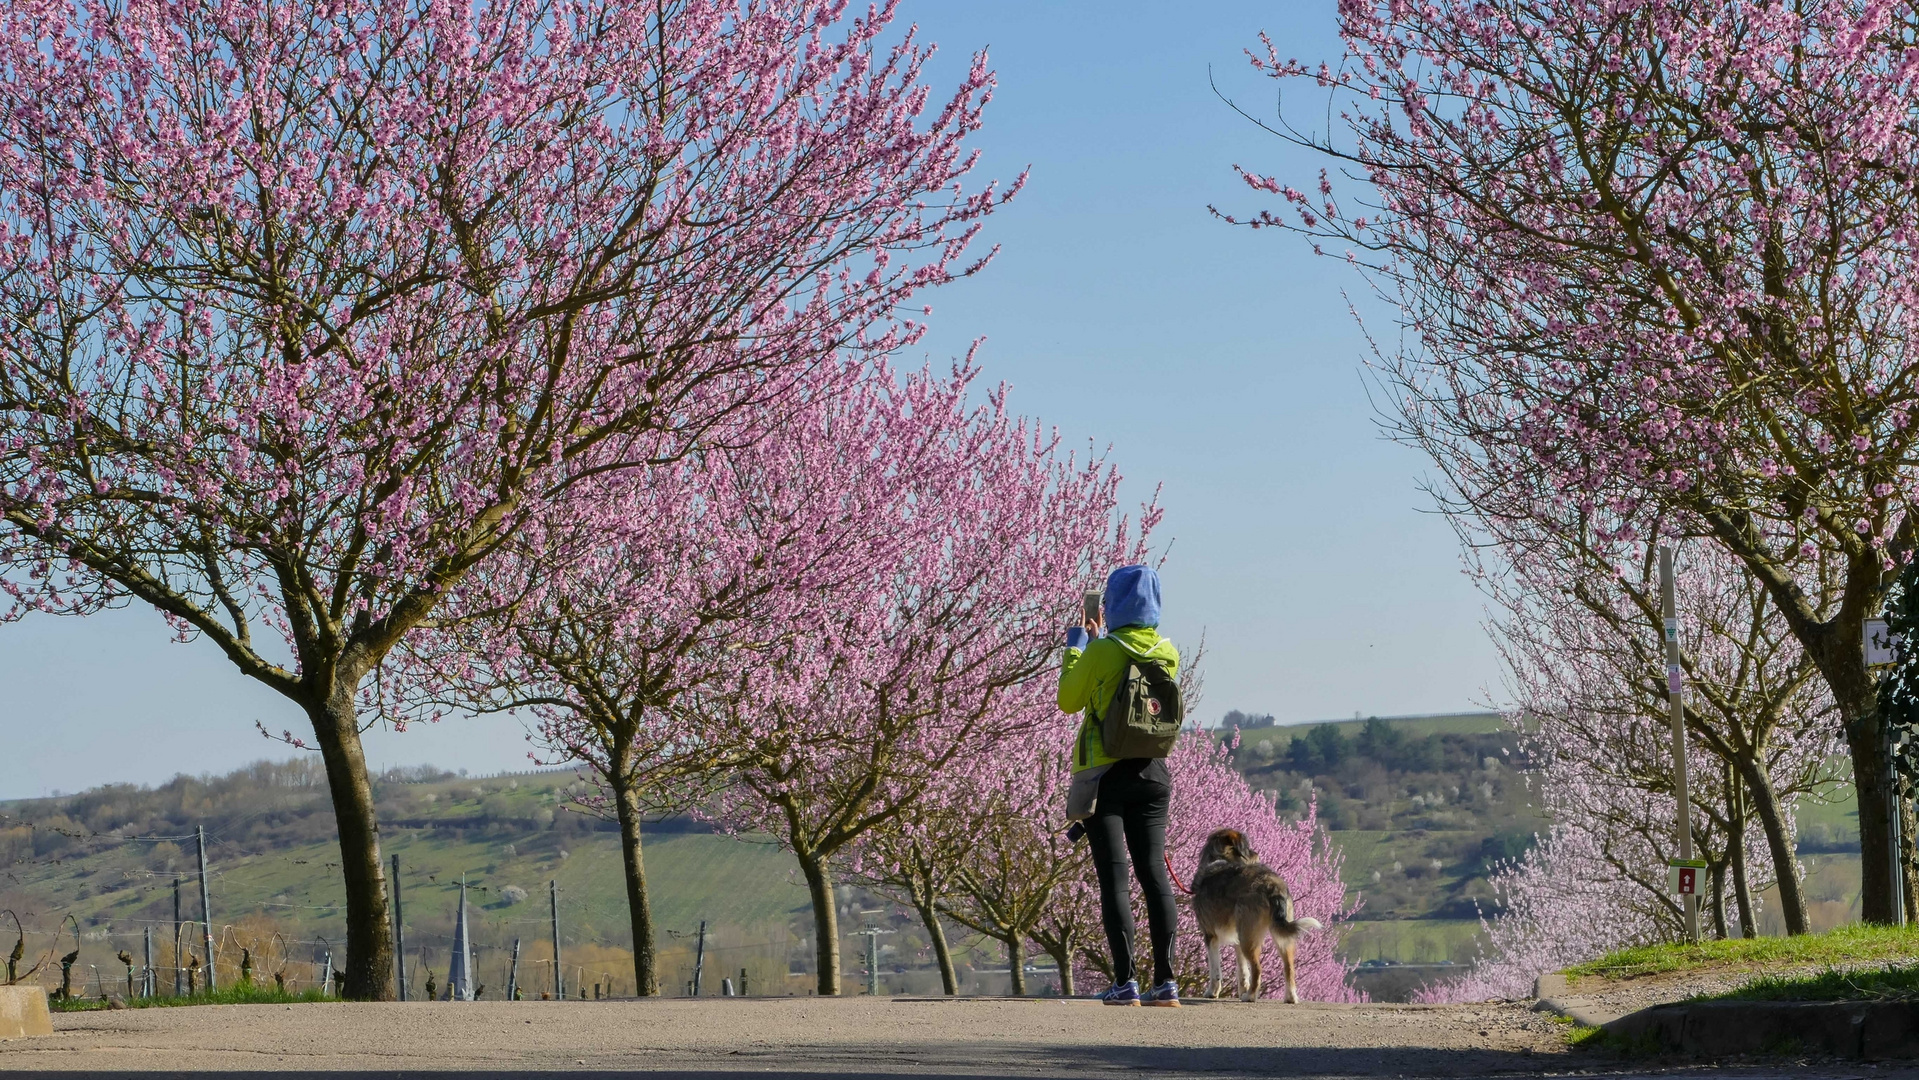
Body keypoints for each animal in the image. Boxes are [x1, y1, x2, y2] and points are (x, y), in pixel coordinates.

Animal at [1189, 828, 1327, 1005]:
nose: (1257, 854)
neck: (1218, 860)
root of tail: (1272, 885)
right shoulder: (1236, 938)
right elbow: (1242, 971)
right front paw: (1242, 990)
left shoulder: (1210, 935)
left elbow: (1215, 969)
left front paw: (1212, 992)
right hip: (1278, 936)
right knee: (1288, 967)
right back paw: (1290, 997)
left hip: (1248, 936)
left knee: (1257, 968)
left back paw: (1251, 996)